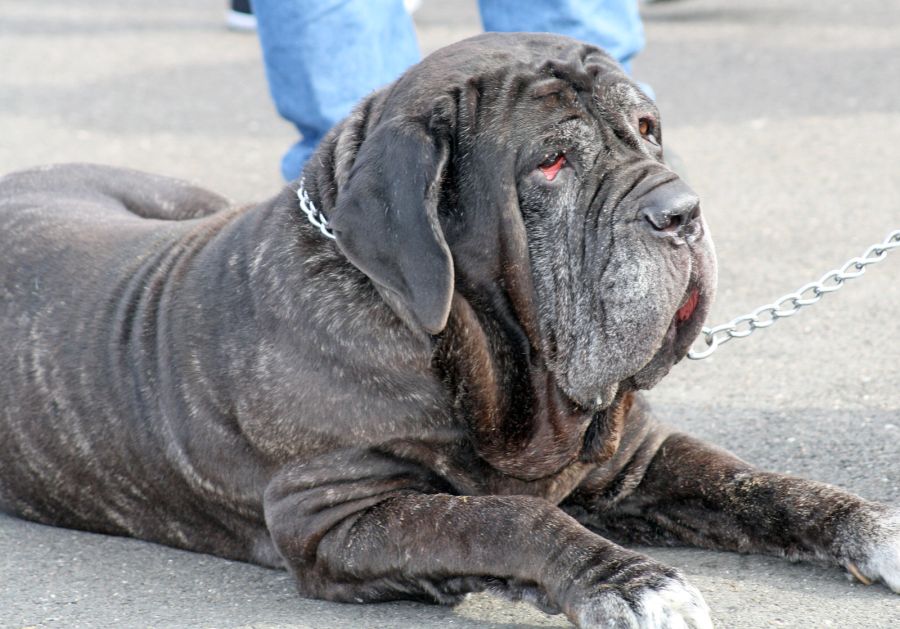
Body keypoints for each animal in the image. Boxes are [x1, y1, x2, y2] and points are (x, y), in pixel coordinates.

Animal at [0, 35, 896, 628]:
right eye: (551, 164)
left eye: (647, 130)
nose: (682, 211)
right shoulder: (340, 513)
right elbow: (503, 518)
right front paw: (631, 580)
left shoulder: (636, 458)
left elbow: (768, 486)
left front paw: (879, 525)